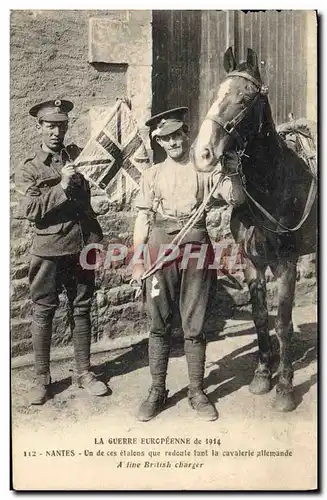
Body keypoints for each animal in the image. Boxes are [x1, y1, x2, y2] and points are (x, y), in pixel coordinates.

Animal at [192, 47, 318, 412]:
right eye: (215, 93)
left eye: (245, 98)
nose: (203, 153)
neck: (273, 182)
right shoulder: (251, 261)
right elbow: (261, 316)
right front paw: (263, 375)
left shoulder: (286, 263)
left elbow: (284, 322)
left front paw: (286, 389)